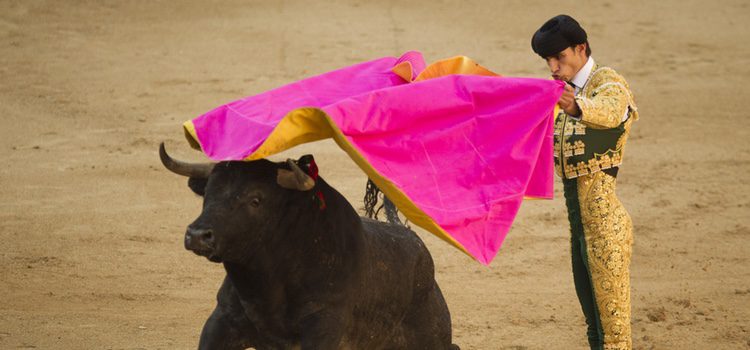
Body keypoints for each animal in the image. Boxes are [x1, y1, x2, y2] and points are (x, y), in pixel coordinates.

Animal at [159, 144, 458, 348]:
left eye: (256, 200)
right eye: (207, 194)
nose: (198, 235)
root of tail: (412, 237)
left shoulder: (323, 327)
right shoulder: (222, 320)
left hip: (432, 338)